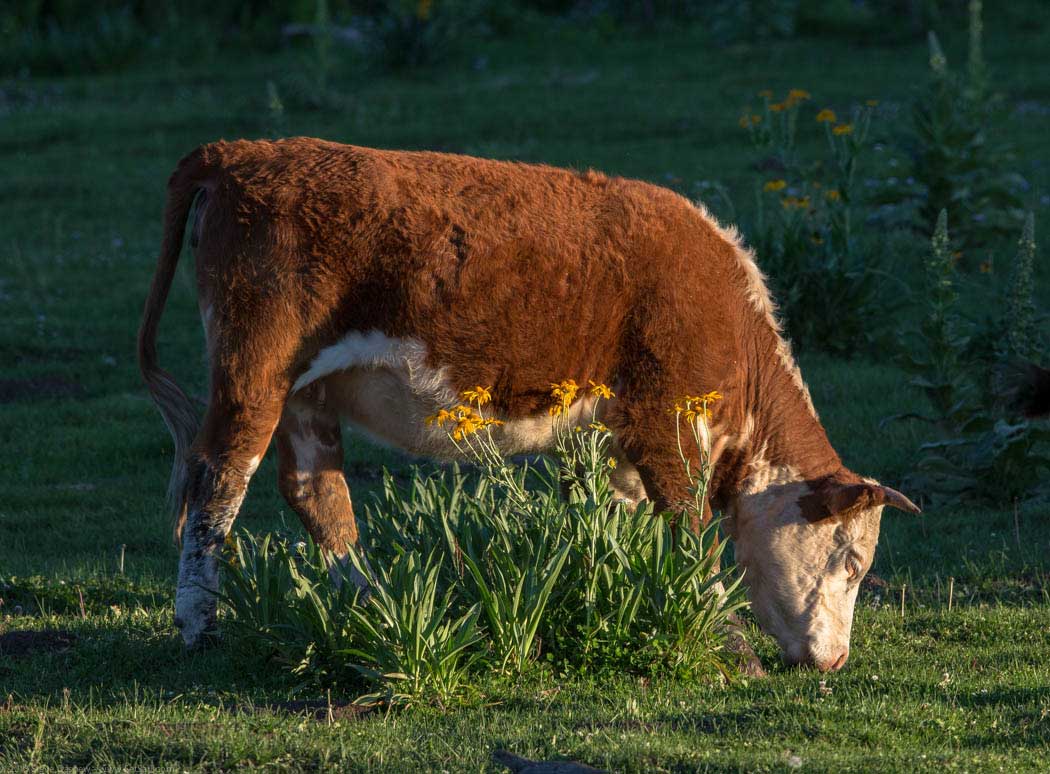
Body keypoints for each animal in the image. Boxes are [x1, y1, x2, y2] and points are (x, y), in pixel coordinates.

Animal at [137, 138, 919, 672]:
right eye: (854, 561)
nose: (835, 660)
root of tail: (241, 152)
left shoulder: (614, 442)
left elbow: (618, 527)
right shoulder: (664, 419)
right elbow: (689, 529)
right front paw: (727, 642)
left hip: (305, 394)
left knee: (315, 493)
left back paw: (372, 605)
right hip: (255, 371)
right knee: (218, 479)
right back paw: (199, 625)